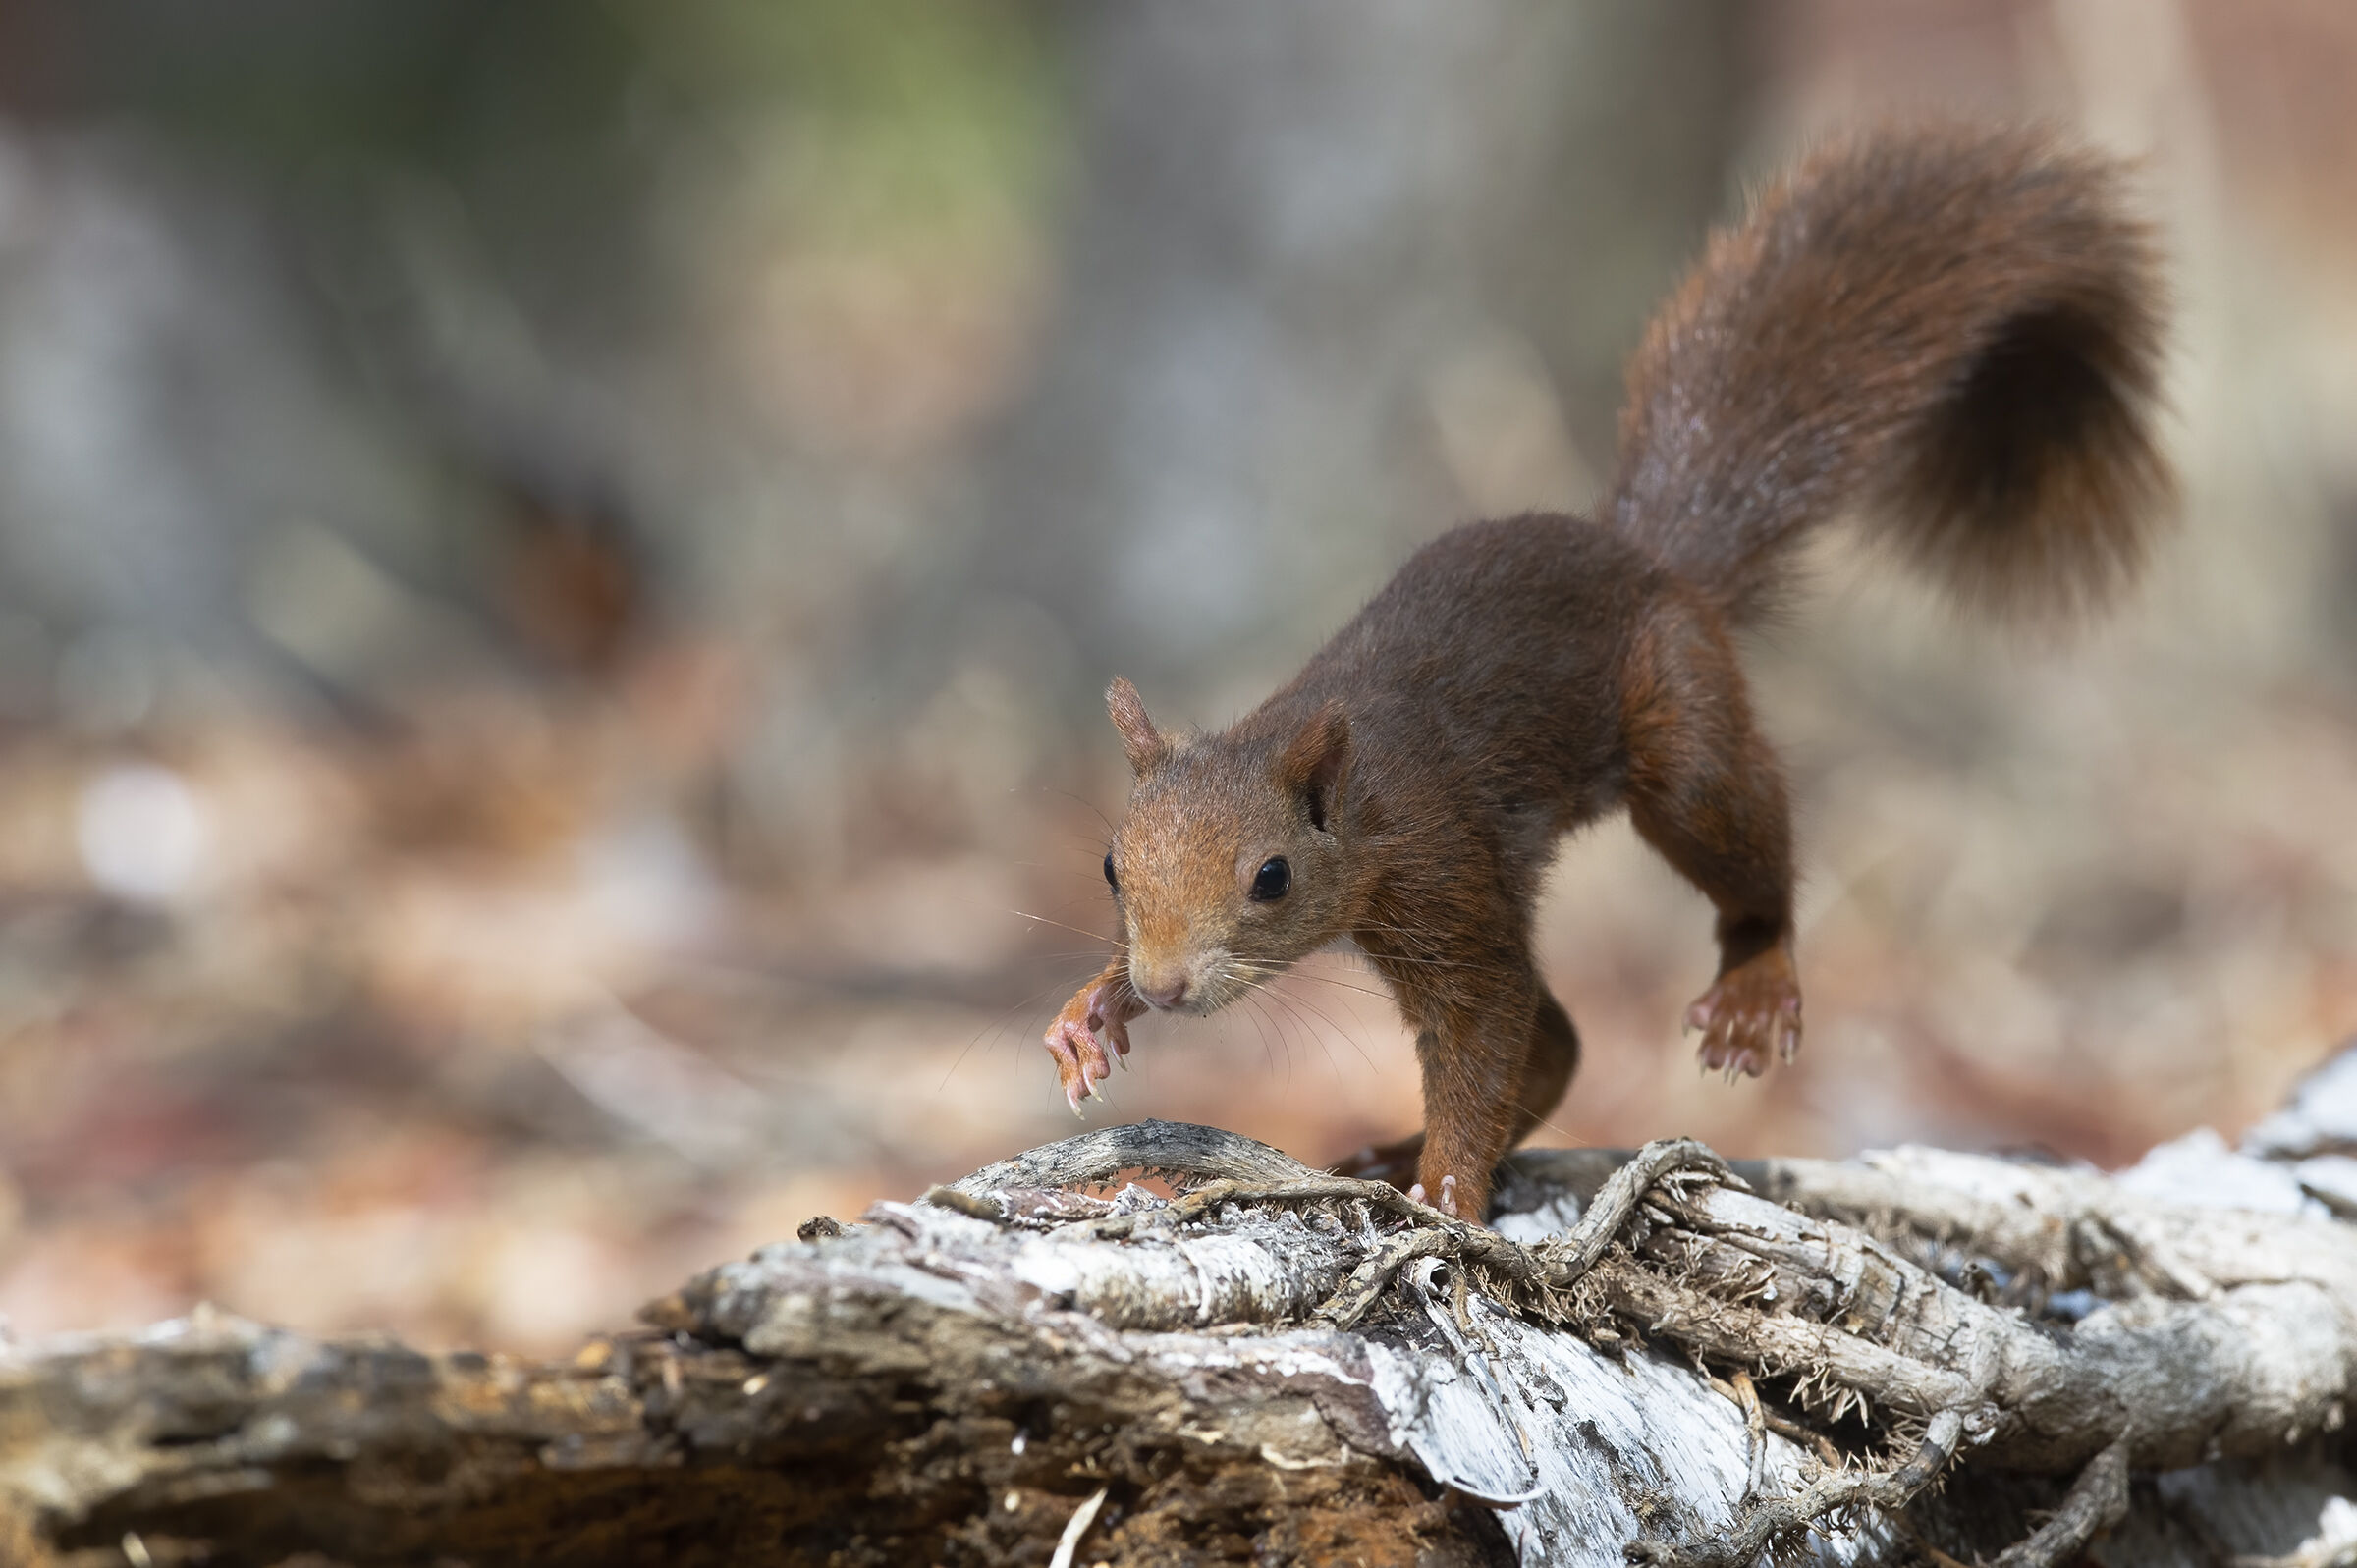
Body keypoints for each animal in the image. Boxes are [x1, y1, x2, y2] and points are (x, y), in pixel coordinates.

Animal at [1041, 126, 2172, 1222]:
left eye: (1271, 876)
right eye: (1110, 867)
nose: (1166, 983)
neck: (1349, 792)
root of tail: (1651, 560)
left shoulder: (1442, 870)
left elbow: (1487, 1027)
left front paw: (1448, 1192)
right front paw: (1091, 1010)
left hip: (1680, 728)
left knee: (1709, 881)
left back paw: (1750, 983)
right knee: (1562, 1042)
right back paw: (1393, 1146)